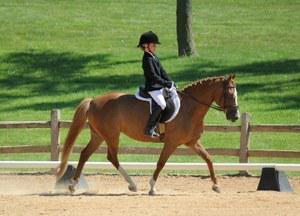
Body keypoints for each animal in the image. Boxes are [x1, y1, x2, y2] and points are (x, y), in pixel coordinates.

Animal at [55, 74, 239, 194]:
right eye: (230, 93)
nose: (235, 116)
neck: (190, 107)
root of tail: (93, 100)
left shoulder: (192, 142)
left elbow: (208, 159)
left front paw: (216, 186)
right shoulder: (172, 143)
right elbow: (161, 163)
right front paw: (152, 187)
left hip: (98, 135)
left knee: (85, 154)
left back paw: (72, 185)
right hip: (111, 135)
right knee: (112, 157)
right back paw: (132, 185)